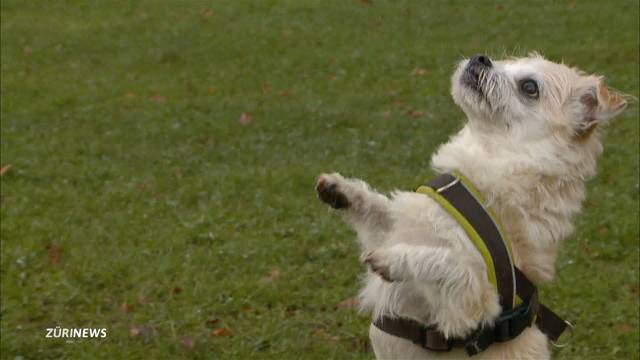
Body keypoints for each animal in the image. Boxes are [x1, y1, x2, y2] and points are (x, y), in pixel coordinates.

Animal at [316, 52, 632, 358]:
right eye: (505, 60)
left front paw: (392, 260)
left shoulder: (474, 306)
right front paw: (340, 189)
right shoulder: (394, 226)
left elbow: (452, 262)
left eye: (530, 87)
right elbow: (379, 208)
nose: (481, 58)